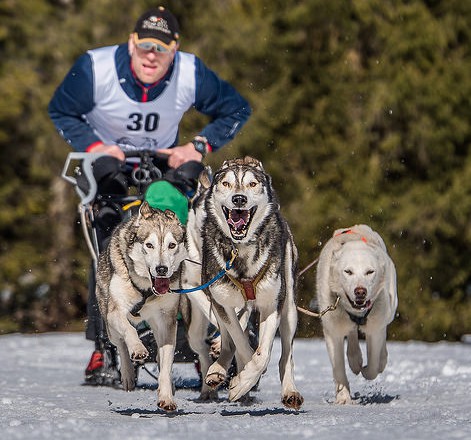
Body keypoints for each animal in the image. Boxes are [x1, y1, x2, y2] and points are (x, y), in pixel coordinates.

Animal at [97, 203, 187, 412]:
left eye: (172, 245)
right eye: (149, 245)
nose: (161, 269)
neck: (146, 289)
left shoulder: (168, 321)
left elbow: (166, 362)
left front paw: (166, 397)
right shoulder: (116, 312)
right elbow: (129, 331)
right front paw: (138, 349)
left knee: (160, 359)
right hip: (109, 324)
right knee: (120, 344)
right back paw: (128, 375)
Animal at [201, 156, 304, 410]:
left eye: (252, 184)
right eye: (226, 183)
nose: (239, 199)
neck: (241, 251)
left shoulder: (272, 305)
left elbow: (263, 354)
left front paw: (244, 381)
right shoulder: (221, 301)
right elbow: (239, 341)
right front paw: (242, 379)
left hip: (290, 309)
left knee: (286, 356)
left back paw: (290, 391)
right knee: (230, 339)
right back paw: (218, 369)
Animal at [318, 225, 398, 404]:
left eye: (370, 272)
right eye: (348, 271)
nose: (360, 291)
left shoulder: (375, 328)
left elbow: (373, 366)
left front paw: (368, 369)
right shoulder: (332, 331)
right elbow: (338, 368)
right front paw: (343, 398)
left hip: (390, 309)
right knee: (352, 333)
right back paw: (355, 359)